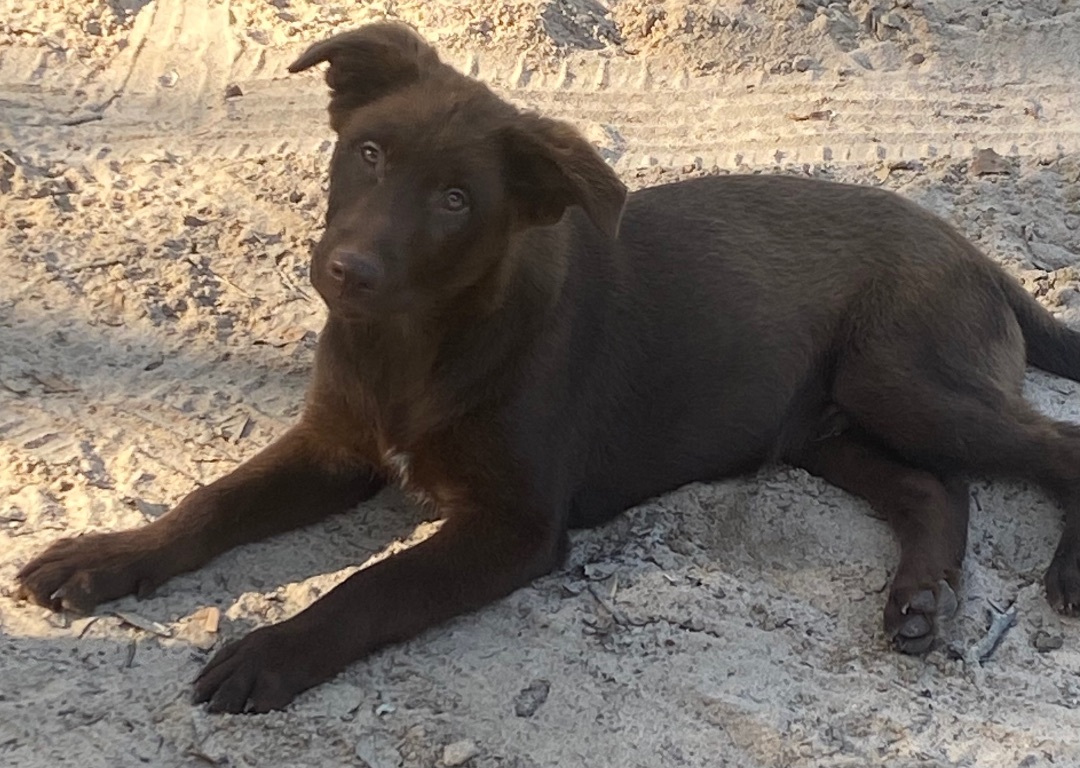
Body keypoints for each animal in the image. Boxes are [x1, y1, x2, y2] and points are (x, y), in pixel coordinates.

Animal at [14, 19, 1080, 712]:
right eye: (367, 152)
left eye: (455, 200)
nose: (345, 272)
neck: (415, 343)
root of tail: (974, 249)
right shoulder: (333, 447)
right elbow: (212, 503)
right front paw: (106, 556)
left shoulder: (517, 525)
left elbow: (375, 585)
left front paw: (273, 651)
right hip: (817, 427)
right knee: (936, 490)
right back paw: (920, 600)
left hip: (897, 377)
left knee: (1053, 446)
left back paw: (1058, 570)